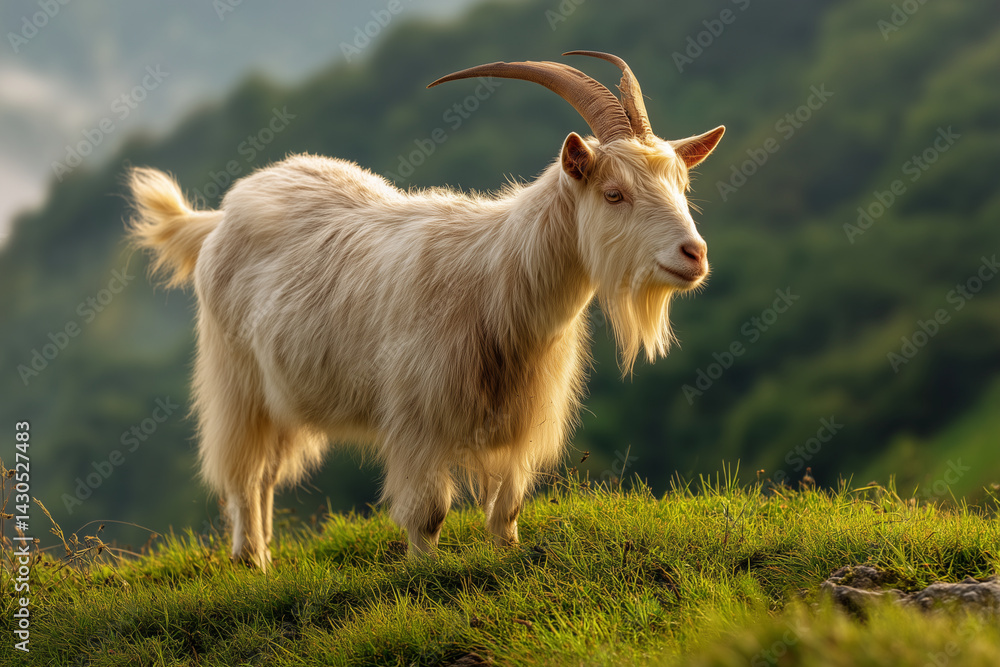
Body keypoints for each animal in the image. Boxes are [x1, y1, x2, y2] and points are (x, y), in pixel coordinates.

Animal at [127, 51, 725, 569]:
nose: (693, 254)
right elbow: (429, 512)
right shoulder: (419, 419)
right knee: (242, 472)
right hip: (237, 378)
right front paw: (423, 572)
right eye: (614, 193)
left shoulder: (520, 416)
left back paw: (267, 554)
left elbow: (507, 508)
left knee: (268, 472)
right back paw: (250, 558)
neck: (496, 274)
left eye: (681, 184)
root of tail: (218, 216)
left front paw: (505, 557)